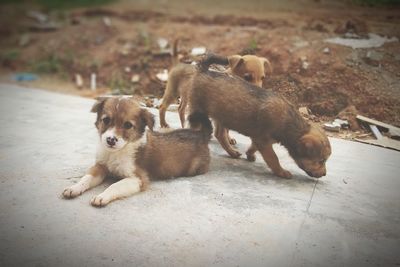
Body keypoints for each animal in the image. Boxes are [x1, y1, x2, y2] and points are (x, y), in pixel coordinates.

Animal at [61, 97, 212, 207]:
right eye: (106, 120)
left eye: (128, 125)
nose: (110, 140)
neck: (116, 153)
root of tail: (200, 134)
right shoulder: (100, 167)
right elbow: (86, 178)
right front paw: (74, 188)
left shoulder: (138, 178)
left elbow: (115, 186)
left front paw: (102, 196)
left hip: (194, 169)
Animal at [188, 59, 332, 179]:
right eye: (321, 161)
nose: (325, 174)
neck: (290, 124)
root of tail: (204, 70)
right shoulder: (264, 141)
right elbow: (273, 159)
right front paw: (282, 172)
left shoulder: (260, 139)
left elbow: (253, 147)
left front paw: (250, 154)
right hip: (199, 111)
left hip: (222, 115)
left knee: (220, 134)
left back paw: (232, 152)